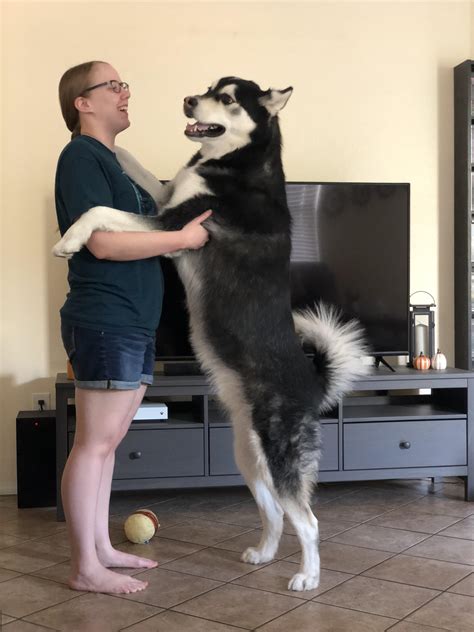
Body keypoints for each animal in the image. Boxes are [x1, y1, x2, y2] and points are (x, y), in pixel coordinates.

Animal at [53, 76, 368, 592]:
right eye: (209, 86)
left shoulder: (176, 224)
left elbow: (99, 208)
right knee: (275, 513)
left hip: (280, 453)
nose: (186, 100)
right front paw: (113, 148)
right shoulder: (167, 200)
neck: (235, 161)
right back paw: (263, 554)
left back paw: (307, 577)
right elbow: (145, 175)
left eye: (228, 98)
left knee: (307, 520)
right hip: (247, 456)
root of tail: (311, 382)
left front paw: (69, 240)